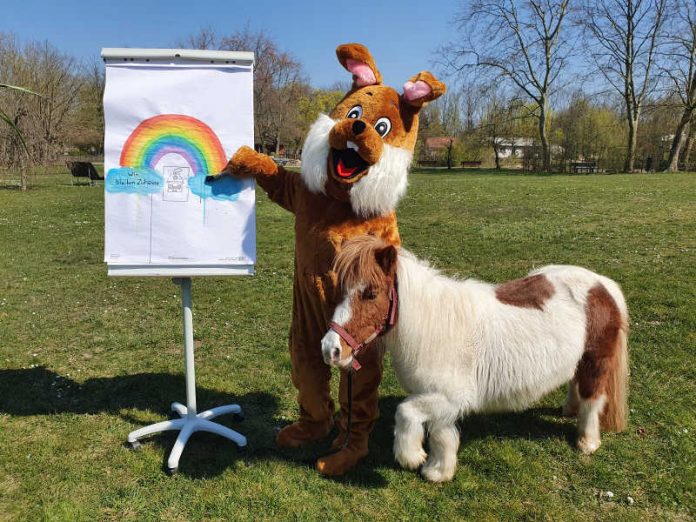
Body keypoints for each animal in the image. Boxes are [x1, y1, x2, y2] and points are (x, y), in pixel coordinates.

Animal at [324, 236, 628, 480]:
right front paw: (438, 471)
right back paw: (569, 410)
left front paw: (412, 456)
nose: (331, 350)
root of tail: (602, 285)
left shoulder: (449, 397)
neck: (432, 325)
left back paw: (587, 442)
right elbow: (441, 435)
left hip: (595, 362)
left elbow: (405, 412)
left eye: (371, 293)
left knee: (592, 399)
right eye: (339, 291)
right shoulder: (439, 400)